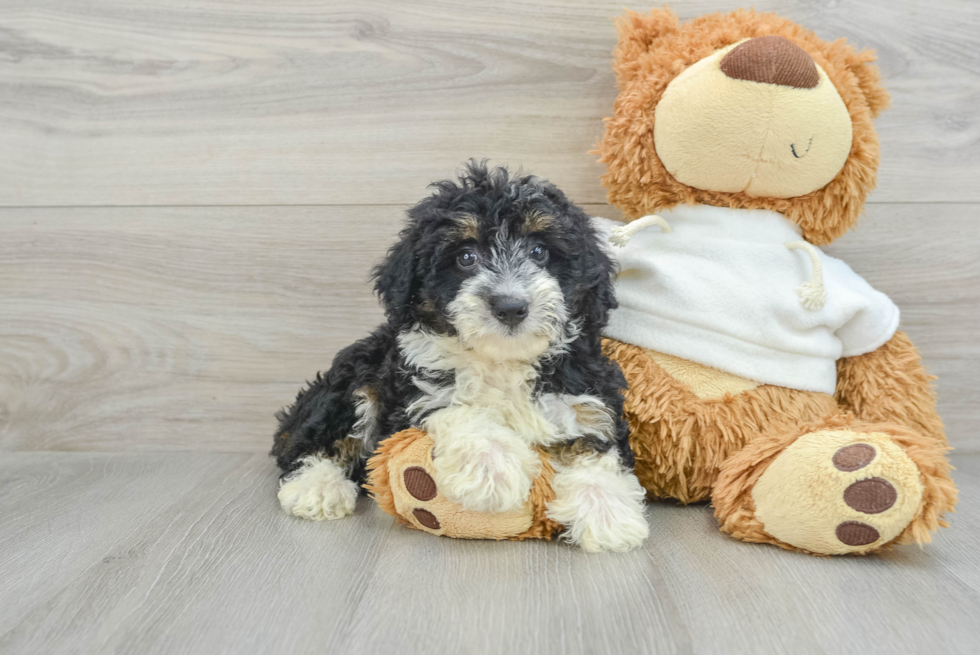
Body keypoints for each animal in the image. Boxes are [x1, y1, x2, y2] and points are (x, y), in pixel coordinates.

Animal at [272, 161, 648, 552]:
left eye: (539, 252)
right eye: (466, 257)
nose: (510, 306)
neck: (503, 360)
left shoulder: (586, 399)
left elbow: (596, 448)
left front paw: (606, 511)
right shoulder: (418, 390)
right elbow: (460, 408)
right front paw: (494, 470)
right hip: (356, 378)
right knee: (309, 439)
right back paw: (316, 487)